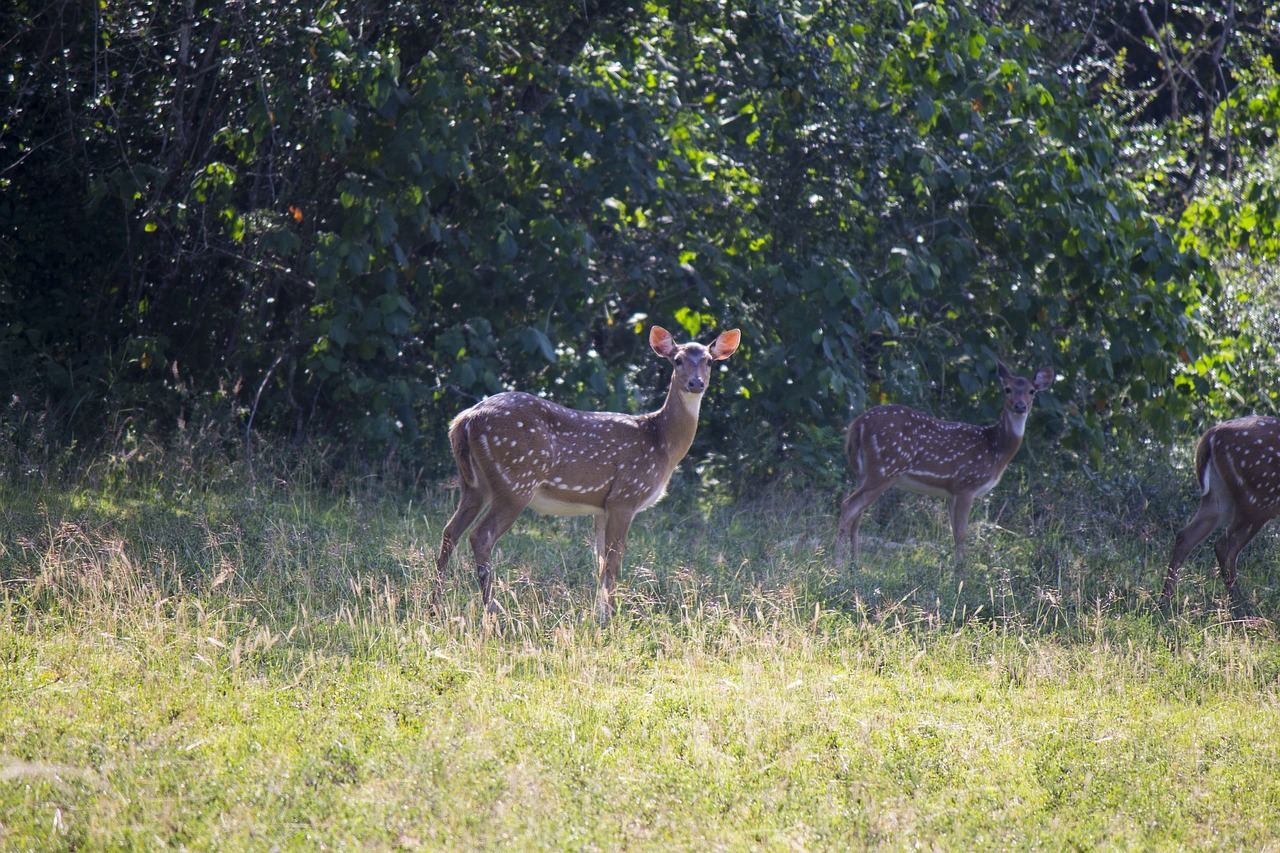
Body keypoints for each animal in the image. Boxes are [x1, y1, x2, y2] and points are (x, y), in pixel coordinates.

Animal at [437, 324, 742, 617]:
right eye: (677, 360)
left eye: (709, 361)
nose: (696, 383)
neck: (661, 443)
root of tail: (464, 420)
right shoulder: (626, 495)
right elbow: (614, 560)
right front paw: (611, 617)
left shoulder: (602, 507)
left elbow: (600, 562)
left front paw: (599, 613)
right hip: (516, 481)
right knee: (480, 536)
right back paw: (493, 609)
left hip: (475, 485)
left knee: (450, 531)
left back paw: (435, 602)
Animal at [834, 358, 1054, 563]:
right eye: (1007, 389)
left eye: (1032, 391)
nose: (1020, 406)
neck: (995, 450)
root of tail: (857, 425)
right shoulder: (967, 484)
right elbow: (962, 535)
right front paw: (960, 575)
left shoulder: (951, 492)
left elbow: (953, 534)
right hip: (885, 468)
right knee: (849, 506)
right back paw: (839, 567)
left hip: (864, 471)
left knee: (858, 514)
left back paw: (854, 565)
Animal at [1162, 412, 1280, 607]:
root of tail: (1211, 435)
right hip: (1259, 497)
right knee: (1224, 545)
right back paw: (1240, 604)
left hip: (1219, 496)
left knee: (1185, 535)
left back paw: (1164, 601)